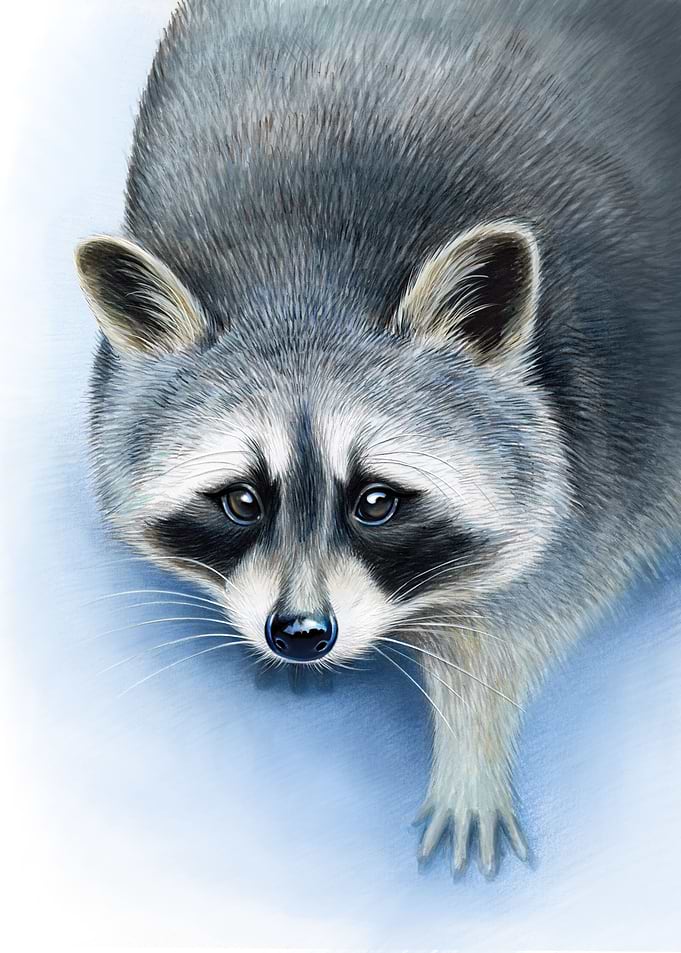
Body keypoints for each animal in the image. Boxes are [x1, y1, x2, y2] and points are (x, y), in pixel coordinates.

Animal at [75, 0, 681, 877]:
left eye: (376, 500)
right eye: (241, 499)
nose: (298, 634)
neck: (306, 271)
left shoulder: (624, 424)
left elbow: (530, 608)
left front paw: (472, 734)